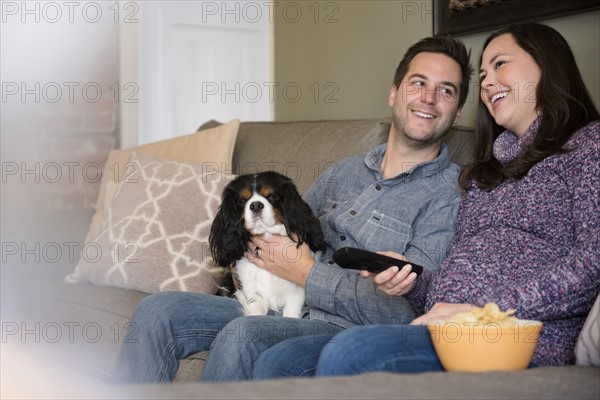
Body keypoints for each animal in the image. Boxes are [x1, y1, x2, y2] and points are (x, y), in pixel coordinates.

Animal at [209, 172, 326, 318]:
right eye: (242, 200)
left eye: (272, 196)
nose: (255, 205)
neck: (267, 235)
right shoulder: (251, 287)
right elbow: (257, 305)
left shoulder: (297, 294)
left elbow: (292, 312)